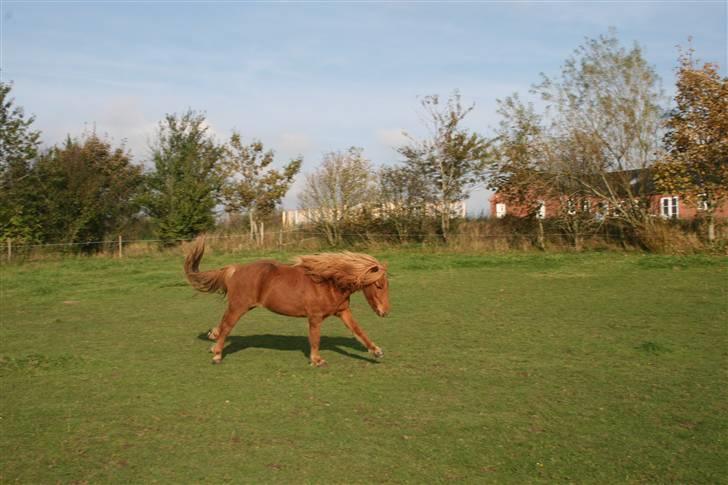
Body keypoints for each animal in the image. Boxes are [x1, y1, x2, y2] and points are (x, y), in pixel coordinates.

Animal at [182, 236, 390, 364]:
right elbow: (315, 339)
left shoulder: (343, 312)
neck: (328, 282)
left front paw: (377, 351)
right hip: (239, 306)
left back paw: (213, 340)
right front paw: (317, 360)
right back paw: (217, 355)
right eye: (379, 285)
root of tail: (234, 269)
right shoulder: (315, 317)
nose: (385, 312)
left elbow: (358, 331)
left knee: (223, 324)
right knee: (226, 326)